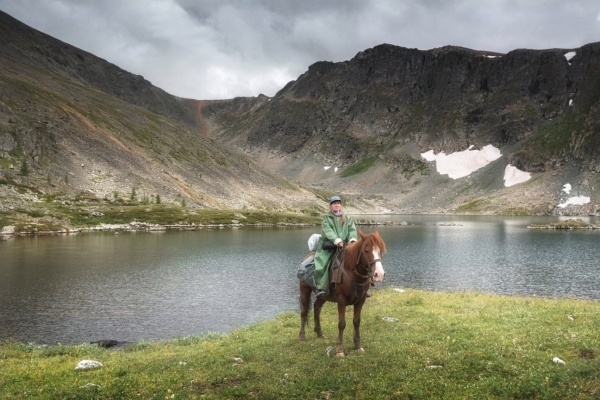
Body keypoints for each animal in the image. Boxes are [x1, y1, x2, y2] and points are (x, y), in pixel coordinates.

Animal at [298, 230, 386, 358]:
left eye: (380, 250)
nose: (379, 274)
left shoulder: (361, 300)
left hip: (323, 296)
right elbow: (342, 324)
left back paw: (320, 333)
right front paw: (339, 350)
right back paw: (302, 338)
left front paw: (358, 346)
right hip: (304, 290)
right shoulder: (341, 300)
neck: (352, 272)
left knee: (317, 308)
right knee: (304, 312)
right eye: (366, 250)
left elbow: (356, 322)